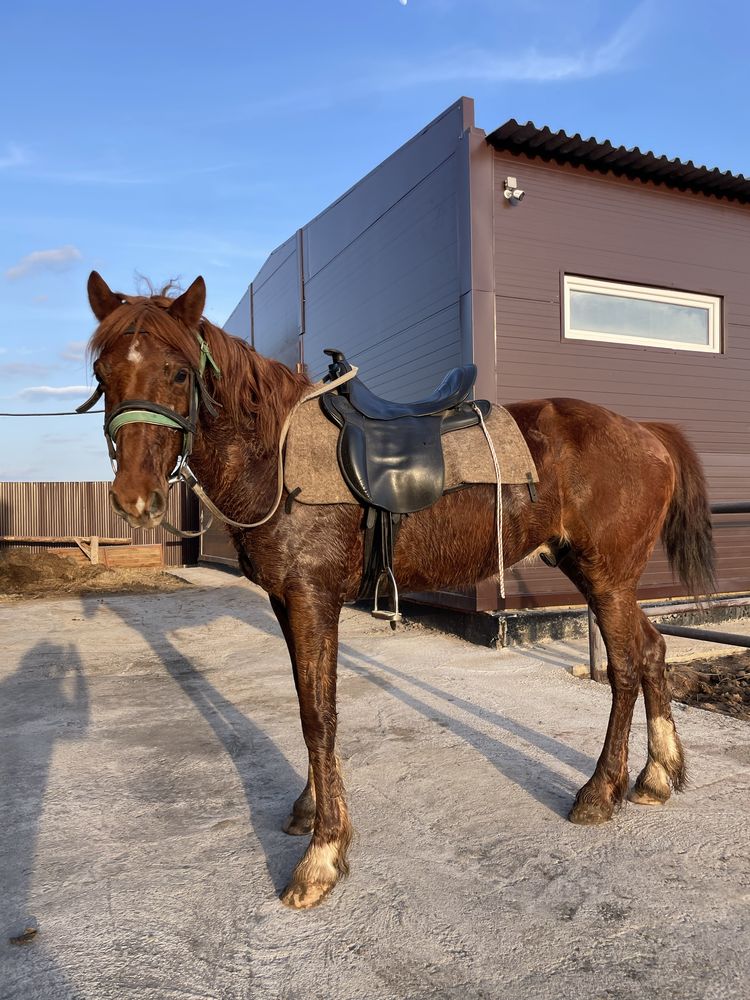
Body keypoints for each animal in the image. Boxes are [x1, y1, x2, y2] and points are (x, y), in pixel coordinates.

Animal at [82, 272, 716, 908]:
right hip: (601, 576)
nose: (134, 498)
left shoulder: (312, 598)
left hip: (605, 577)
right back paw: (656, 776)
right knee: (653, 649)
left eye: (179, 373)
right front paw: (312, 810)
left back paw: (599, 792)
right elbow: (308, 702)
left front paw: (322, 854)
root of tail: (647, 433)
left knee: (625, 667)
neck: (277, 456)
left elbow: (318, 715)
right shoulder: (286, 601)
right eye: (102, 374)